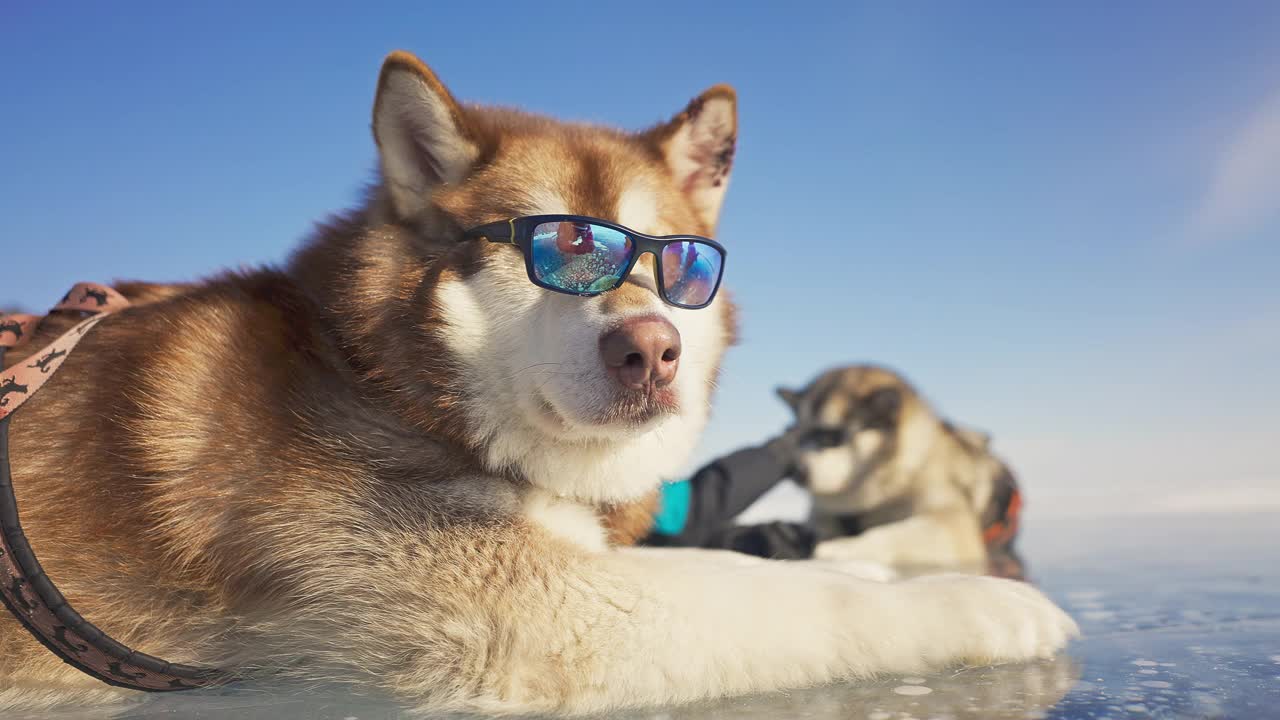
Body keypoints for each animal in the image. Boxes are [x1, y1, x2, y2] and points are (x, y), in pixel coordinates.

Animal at [0, 51, 1075, 712]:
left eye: (681, 263)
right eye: (559, 246)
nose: (651, 351)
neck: (385, 381)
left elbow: (757, 563)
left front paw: (864, 561)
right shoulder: (517, 615)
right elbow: (782, 598)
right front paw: (985, 606)